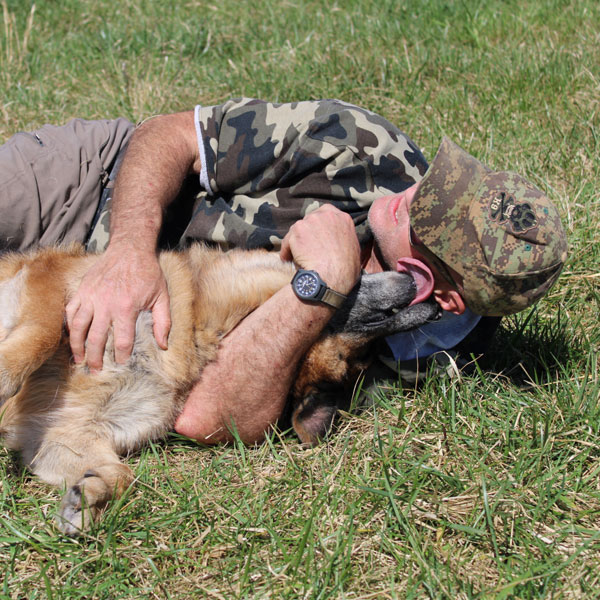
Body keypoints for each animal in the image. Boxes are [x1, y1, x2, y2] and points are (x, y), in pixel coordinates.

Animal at [1, 241, 440, 532]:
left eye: (362, 356)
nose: (435, 306)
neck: (199, 327)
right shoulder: (53, 277)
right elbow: (42, 332)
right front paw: (6, 372)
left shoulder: (62, 434)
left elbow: (123, 476)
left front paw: (87, 500)